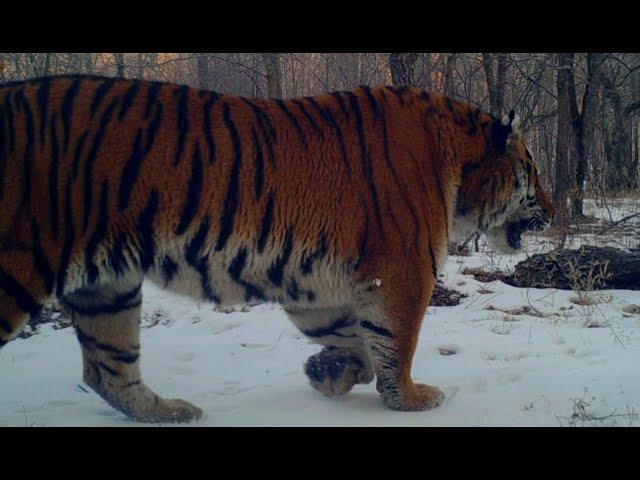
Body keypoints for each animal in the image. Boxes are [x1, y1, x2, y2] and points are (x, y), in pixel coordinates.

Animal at [0, 73, 552, 422]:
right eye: (534, 171)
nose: (552, 210)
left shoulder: (315, 282)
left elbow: (355, 340)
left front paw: (326, 373)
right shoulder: (402, 268)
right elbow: (397, 343)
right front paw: (412, 400)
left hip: (109, 285)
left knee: (106, 369)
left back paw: (172, 413)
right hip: (18, 268)